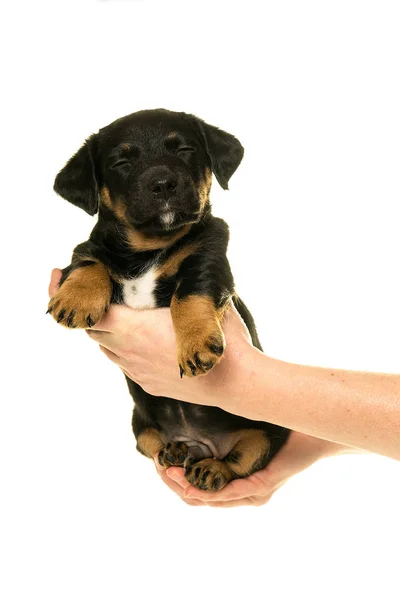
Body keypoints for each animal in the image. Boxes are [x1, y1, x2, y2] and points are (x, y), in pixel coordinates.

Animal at [48, 109, 290, 492]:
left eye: (185, 150)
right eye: (121, 162)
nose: (163, 183)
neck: (150, 248)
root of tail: (200, 444)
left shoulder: (211, 256)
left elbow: (191, 292)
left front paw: (197, 346)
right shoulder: (91, 246)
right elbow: (89, 261)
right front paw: (76, 299)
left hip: (270, 428)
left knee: (244, 455)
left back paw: (211, 469)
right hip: (139, 422)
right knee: (151, 442)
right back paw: (175, 451)